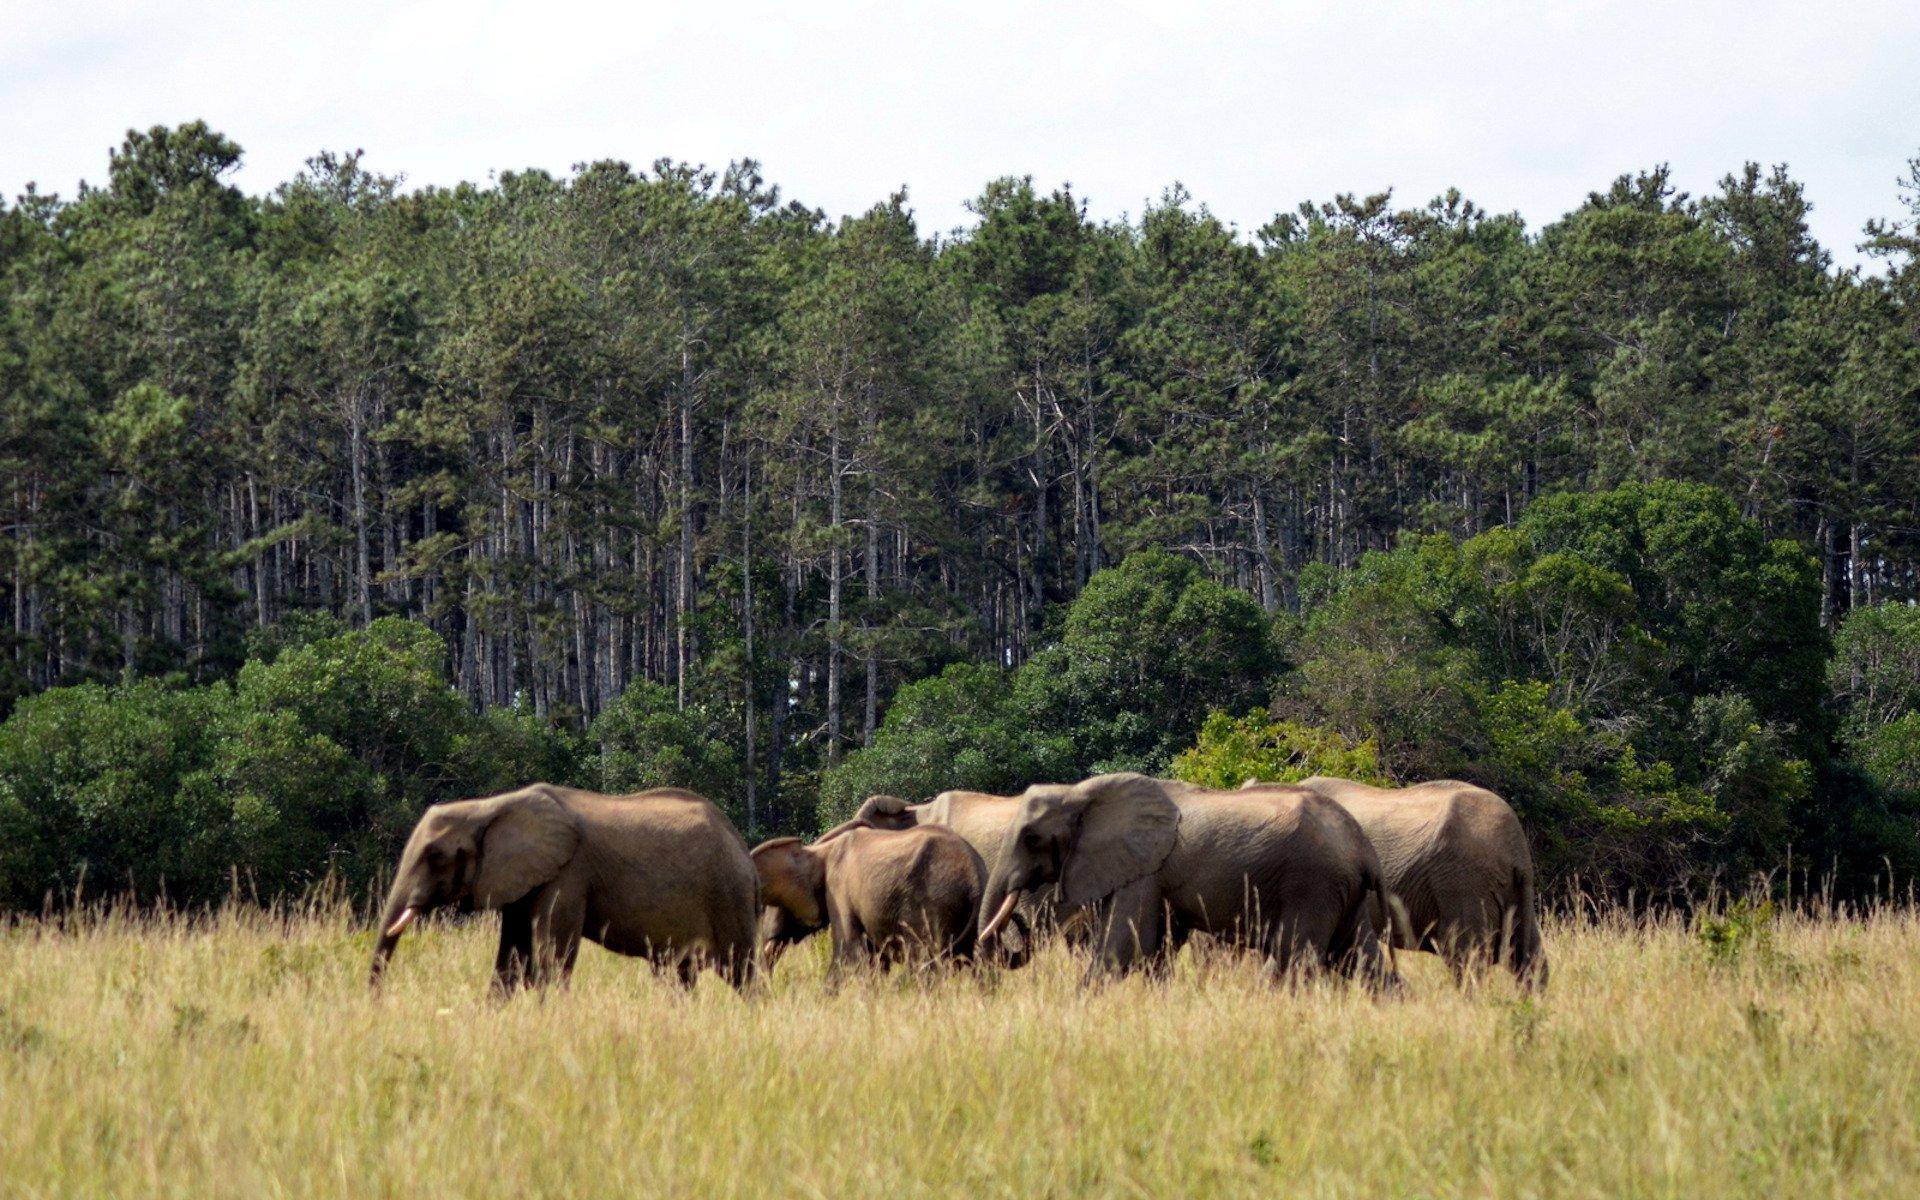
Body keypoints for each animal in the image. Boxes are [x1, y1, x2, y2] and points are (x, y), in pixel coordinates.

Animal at [368, 784, 759, 995]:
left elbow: (551, 958)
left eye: (435, 856)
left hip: (730, 896)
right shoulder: (523, 880)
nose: (377, 1004)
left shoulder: (568, 873)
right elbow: (511, 960)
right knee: (681, 975)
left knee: (742, 973)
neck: (490, 806)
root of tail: (744, 850)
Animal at [751, 822, 1020, 977]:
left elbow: (848, 952)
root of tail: (975, 873)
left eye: (779, 905)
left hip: (935, 903)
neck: (819, 849)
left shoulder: (839, 890)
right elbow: (874, 960)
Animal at [978, 773, 1400, 989]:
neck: (1078, 793)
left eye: (1031, 839)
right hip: (1341, 892)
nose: (1018, 919)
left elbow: (1124, 946)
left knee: (1296, 958)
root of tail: (1364, 849)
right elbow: (1158, 950)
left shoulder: (1145, 871)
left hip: (1313, 885)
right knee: (1360, 959)